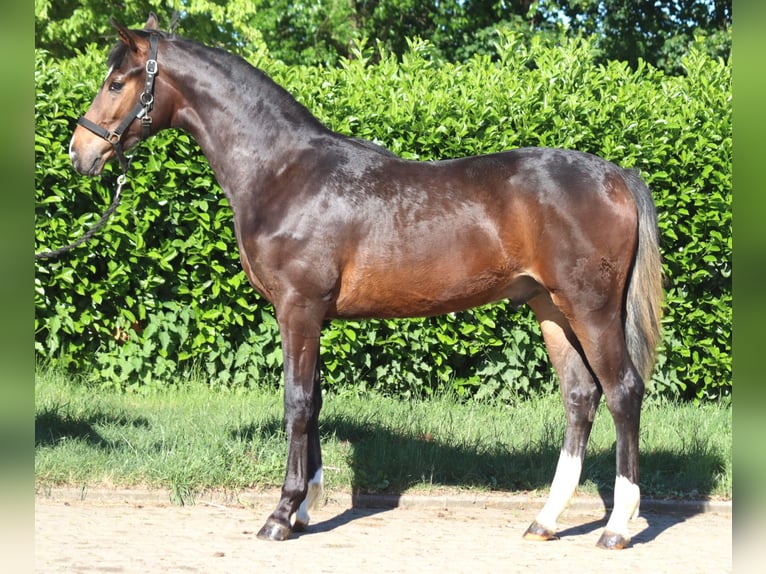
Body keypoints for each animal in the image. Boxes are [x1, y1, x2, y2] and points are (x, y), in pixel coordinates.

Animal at [69, 14, 663, 549]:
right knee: (580, 397)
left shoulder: (298, 309)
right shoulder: (311, 315)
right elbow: (314, 403)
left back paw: (616, 527)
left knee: (622, 392)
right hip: (551, 309)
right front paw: (304, 509)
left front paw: (280, 516)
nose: (81, 151)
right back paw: (545, 521)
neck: (283, 171)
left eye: (116, 83)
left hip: (589, 308)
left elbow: (296, 402)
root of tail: (616, 176)